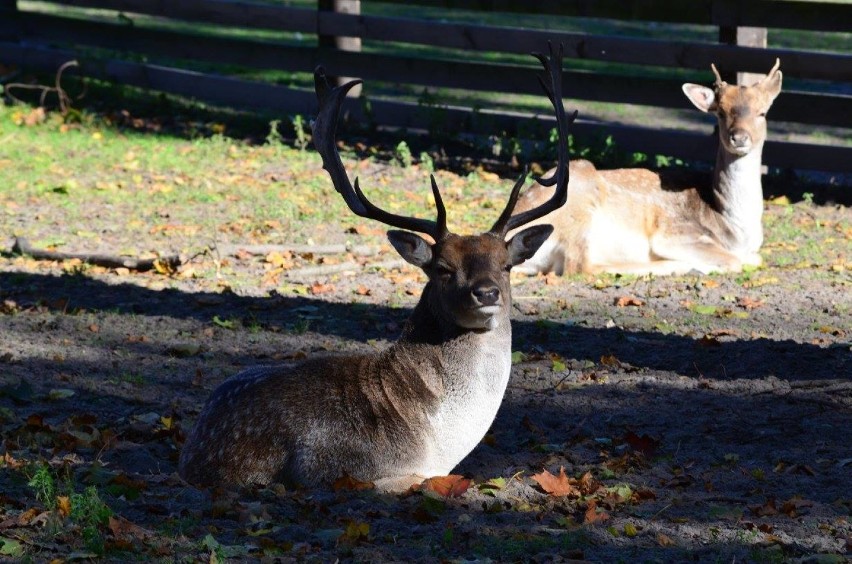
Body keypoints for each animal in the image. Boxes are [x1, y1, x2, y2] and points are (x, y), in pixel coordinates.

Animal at [178, 45, 580, 494]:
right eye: (443, 267)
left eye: (507, 265)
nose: (487, 292)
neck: (437, 442)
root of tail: (190, 451)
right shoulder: (338, 469)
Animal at [510, 59, 784, 276]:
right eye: (720, 113)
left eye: (762, 113)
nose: (739, 137)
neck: (736, 228)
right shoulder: (674, 234)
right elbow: (737, 260)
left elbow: (755, 257)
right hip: (578, 203)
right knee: (578, 266)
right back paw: (681, 266)